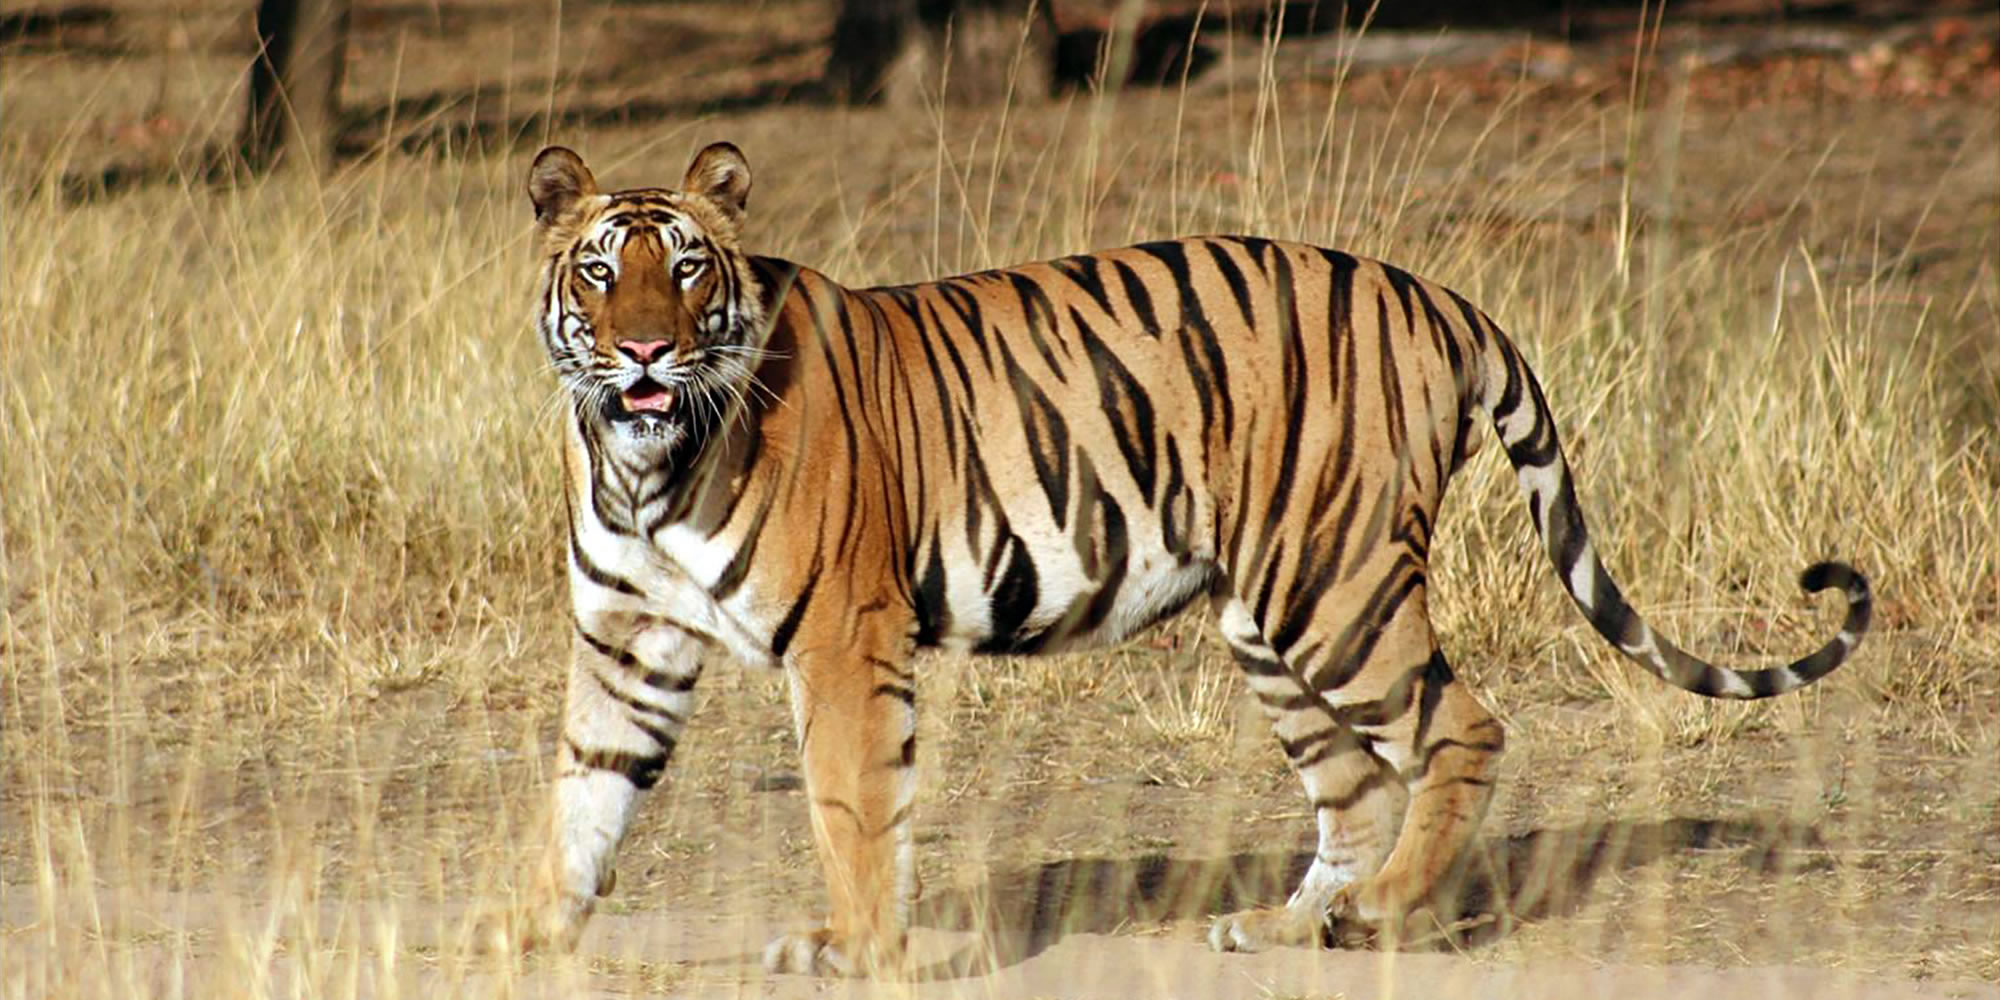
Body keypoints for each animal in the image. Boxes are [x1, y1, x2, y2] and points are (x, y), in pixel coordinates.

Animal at [488, 143, 1872, 976]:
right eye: (600, 273)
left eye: (686, 270)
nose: (646, 353)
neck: (640, 465)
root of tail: (1437, 295)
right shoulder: (624, 644)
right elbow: (583, 794)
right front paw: (525, 927)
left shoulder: (841, 637)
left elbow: (851, 807)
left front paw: (854, 948)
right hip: (1265, 613)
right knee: (1354, 783)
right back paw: (1283, 924)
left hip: (1334, 585)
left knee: (1462, 728)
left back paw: (1378, 915)